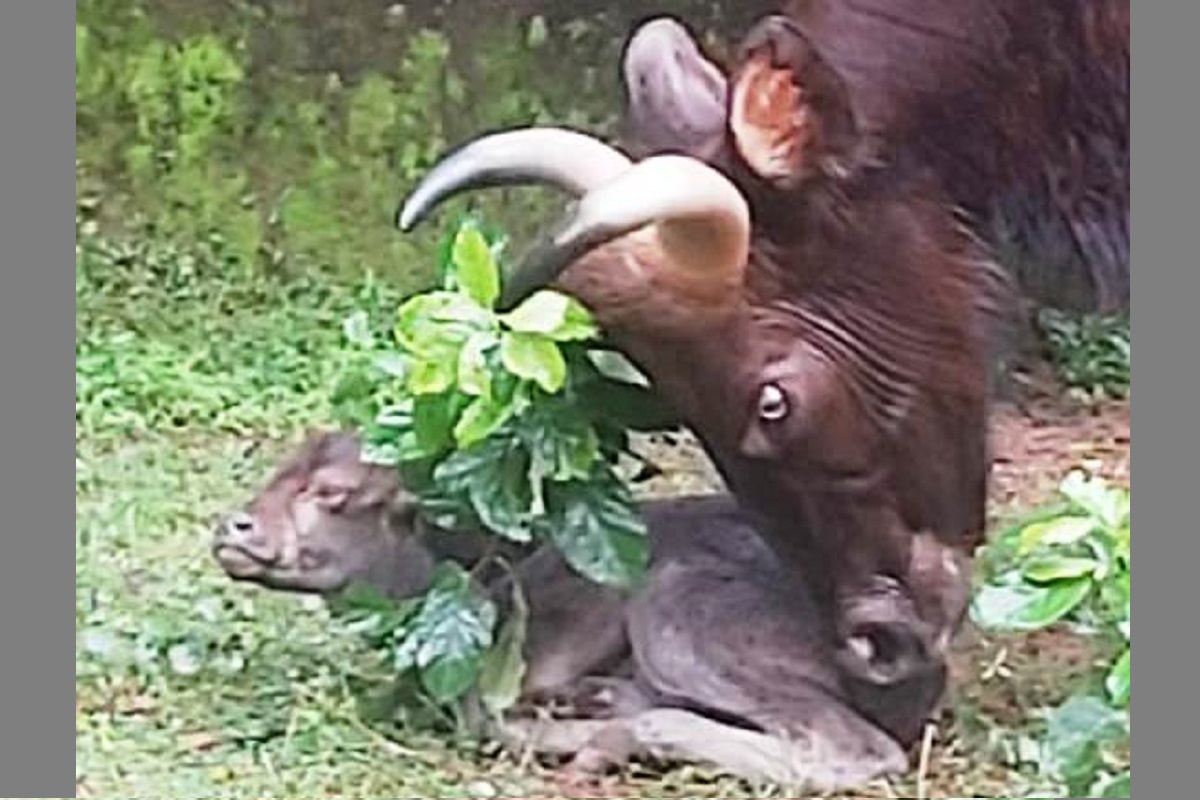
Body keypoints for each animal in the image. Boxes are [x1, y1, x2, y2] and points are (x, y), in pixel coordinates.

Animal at [216, 429, 964, 791]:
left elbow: (491, 718)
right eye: (277, 473)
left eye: (333, 493)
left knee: (855, 752)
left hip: (683, 612)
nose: (234, 528)